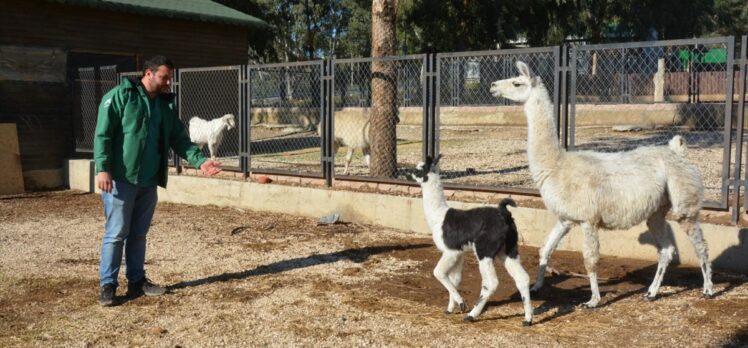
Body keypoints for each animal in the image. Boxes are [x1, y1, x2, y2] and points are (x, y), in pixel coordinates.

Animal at [412, 156, 536, 324]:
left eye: (420, 169)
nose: (410, 173)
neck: (438, 216)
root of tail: (503, 213)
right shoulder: (459, 253)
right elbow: (455, 279)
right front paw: (451, 308)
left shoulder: (450, 250)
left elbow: (439, 273)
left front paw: (461, 303)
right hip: (508, 249)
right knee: (523, 278)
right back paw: (528, 319)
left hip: (485, 249)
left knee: (491, 283)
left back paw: (471, 315)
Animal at [490, 61, 712, 308]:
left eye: (516, 82)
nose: (493, 86)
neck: (557, 165)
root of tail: (678, 152)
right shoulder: (566, 218)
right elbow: (545, 249)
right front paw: (536, 287)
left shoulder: (588, 219)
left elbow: (590, 260)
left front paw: (593, 300)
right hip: (657, 210)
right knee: (667, 250)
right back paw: (652, 292)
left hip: (685, 202)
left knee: (700, 245)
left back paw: (708, 289)